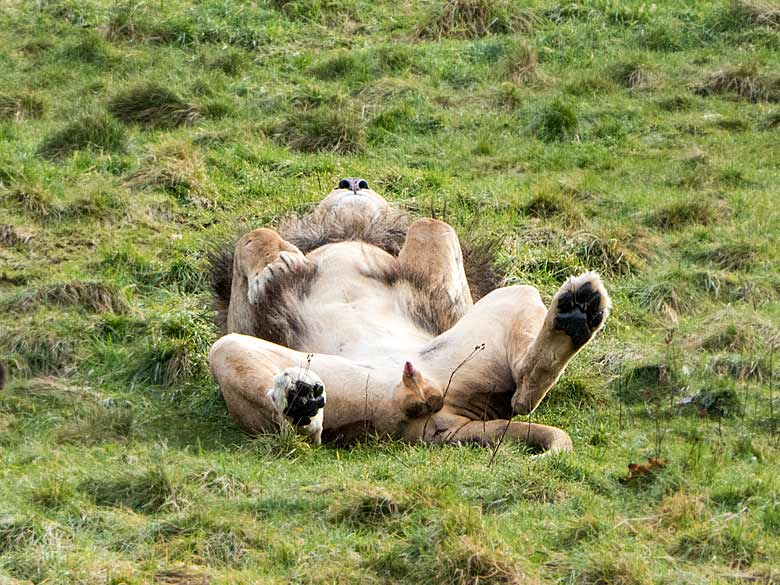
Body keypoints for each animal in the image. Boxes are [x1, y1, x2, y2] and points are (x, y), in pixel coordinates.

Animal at [210, 178, 612, 452]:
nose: (353, 181)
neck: (351, 235)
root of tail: (440, 418)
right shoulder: (250, 320)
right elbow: (252, 236)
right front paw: (278, 262)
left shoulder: (449, 306)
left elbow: (432, 225)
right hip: (263, 360)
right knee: (302, 431)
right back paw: (299, 401)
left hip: (510, 302)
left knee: (523, 393)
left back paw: (577, 311)